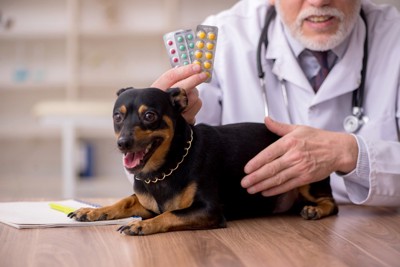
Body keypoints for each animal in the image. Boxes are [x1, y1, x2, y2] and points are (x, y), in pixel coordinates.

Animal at [69, 87, 338, 236]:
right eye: (117, 117)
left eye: (150, 116)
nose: (122, 143)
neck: (164, 170)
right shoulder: (148, 205)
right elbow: (125, 201)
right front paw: (92, 211)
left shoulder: (209, 211)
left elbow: (170, 214)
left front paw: (141, 227)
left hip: (306, 179)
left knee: (332, 204)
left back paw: (315, 209)